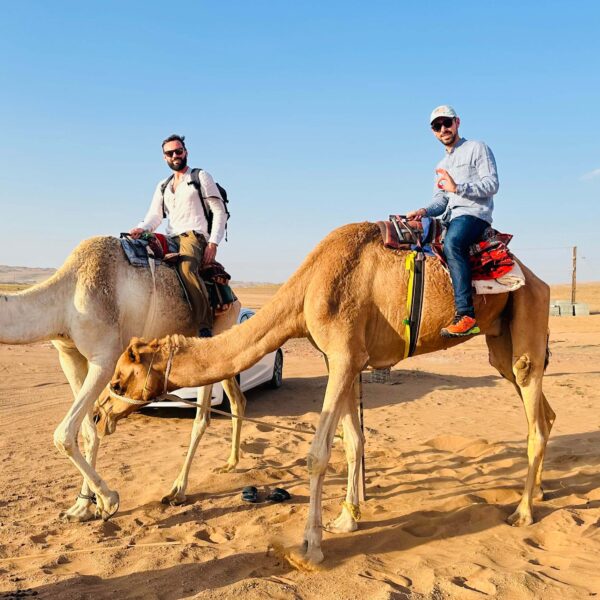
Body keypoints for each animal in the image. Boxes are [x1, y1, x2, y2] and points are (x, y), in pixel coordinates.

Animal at [0, 234, 246, 520]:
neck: (65, 299)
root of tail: (234, 295)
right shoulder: (69, 355)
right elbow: (88, 433)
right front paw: (82, 507)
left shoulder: (104, 358)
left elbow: (64, 435)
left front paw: (109, 500)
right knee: (237, 398)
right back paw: (230, 463)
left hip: (214, 334)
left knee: (202, 419)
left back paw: (178, 491)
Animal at [104, 221, 552, 568]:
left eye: (119, 381)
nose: (101, 413)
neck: (307, 289)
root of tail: (538, 278)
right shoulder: (346, 360)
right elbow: (353, 440)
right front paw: (347, 519)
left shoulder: (342, 354)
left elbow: (318, 454)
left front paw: (309, 547)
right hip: (500, 342)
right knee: (543, 413)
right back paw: (540, 491)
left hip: (528, 316)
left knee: (534, 415)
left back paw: (523, 512)